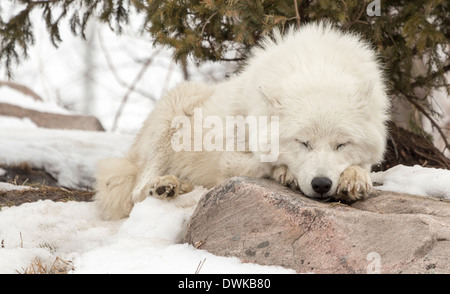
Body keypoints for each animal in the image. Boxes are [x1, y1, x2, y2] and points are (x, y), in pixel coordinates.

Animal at [96, 22, 390, 220]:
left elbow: (363, 166)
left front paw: (355, 178)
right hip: (174, 111)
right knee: (137, 192)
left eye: (341, 145)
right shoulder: (230, 159)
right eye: (302, 143)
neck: (317, 68)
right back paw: (166, 186)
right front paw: (285, 173)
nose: (321, 184)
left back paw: (178, 186)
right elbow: (265, 162)